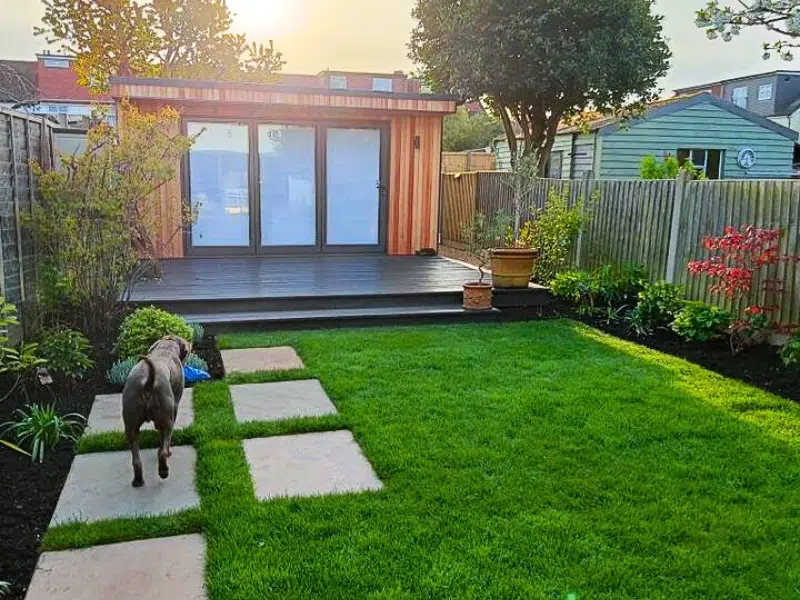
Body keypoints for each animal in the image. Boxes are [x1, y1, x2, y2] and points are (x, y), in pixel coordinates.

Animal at [120, 336, 191, 490]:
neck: (165, 349)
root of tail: (147, 382)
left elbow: (159, 432)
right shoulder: (174, 406)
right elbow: (164, 440)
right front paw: (167, 450)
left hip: (130, 419)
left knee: (136, 458)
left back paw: (138, 480)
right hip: (167, 414)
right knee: (163, 451)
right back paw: (163, 471)